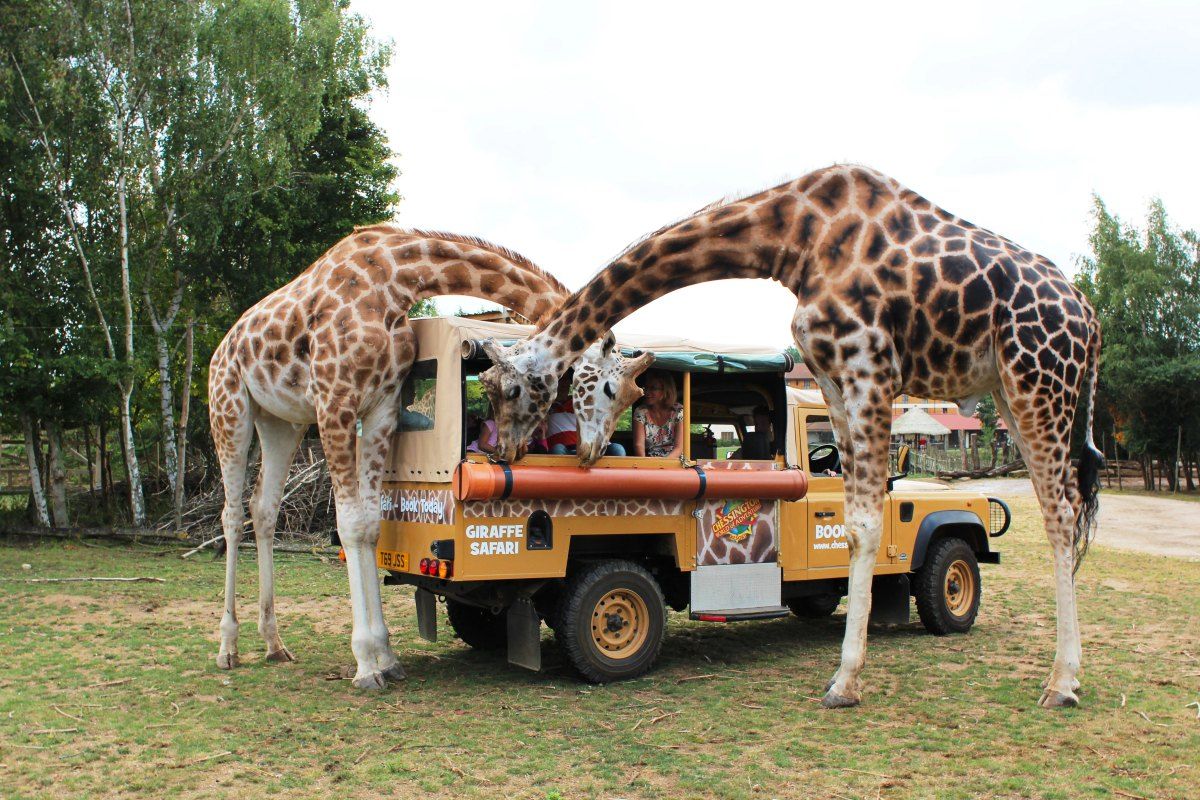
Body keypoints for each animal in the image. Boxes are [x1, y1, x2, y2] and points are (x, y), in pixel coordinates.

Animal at [208, 226, 587, 690]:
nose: (510, 451)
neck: (395, 281)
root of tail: (223, 346)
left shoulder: (382, 407)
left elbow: (371, 526)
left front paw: (385, 656)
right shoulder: (335, 403)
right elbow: (350, 525)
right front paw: (366, 665)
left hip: (282, 421)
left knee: (263, 507)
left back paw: (273, 643)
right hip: (230, 407)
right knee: (230, 513)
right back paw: (227, 647)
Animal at [479, 165, 1103, 709]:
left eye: (512, 389)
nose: (503, 449)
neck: (796, 239)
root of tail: (1089, 317)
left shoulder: (870, 365)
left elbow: (870, 524)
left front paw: (845, 682)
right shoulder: (830, 376)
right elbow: (852, 522)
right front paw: (846, 678)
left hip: (1039, 378)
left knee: (1061, 511)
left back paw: (1062, 683)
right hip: (1009, 388)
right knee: (1065, 501)